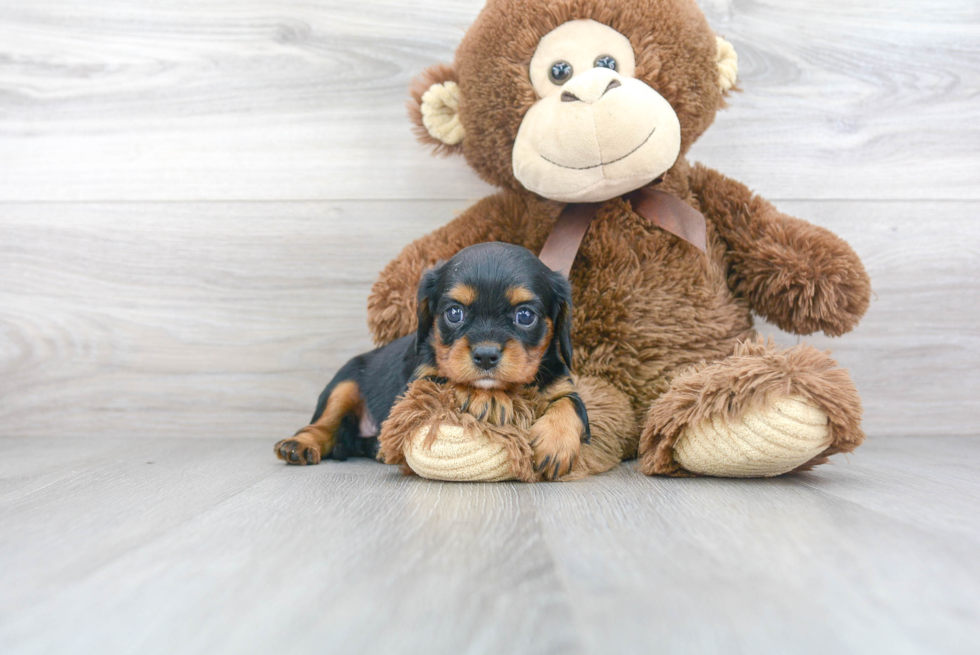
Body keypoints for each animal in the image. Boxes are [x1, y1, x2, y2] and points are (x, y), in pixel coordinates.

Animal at [280, 241, 592, 482]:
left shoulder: (563, 384)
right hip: (344, 383)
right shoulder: (415, 384)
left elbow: (572, 405)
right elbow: (446, 381)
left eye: (525, 315)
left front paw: (556, 443)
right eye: (454, 313)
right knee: (323, 426)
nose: (485, 355)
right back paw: (299, 445)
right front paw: (487, 398)